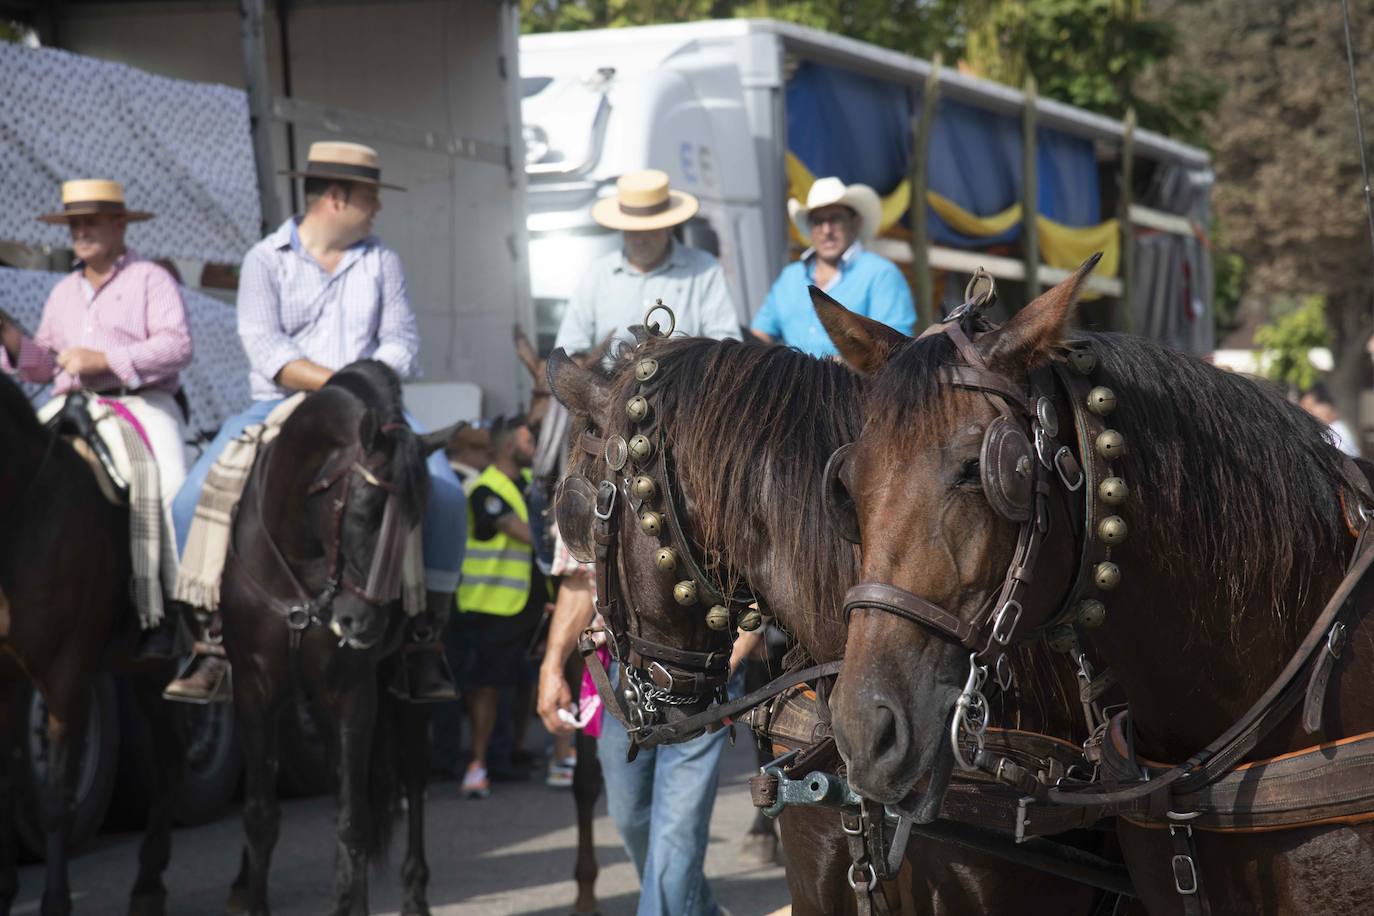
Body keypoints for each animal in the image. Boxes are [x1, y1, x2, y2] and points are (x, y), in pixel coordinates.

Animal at [0, 373, 184, 916]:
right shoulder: (4, 676)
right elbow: (5, 785)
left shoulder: (66, 674)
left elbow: (56, 798)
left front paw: (55, 901)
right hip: (142, 670)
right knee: (170, 755)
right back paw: (148, 882)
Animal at [219, 362, 453, 911]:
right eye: (364, 510)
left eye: (416, 522)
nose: (362, 623)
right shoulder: (253, 691)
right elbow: (260, 816)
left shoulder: (351, 695)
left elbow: (354, 821)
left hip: (405, 692)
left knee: (413, 777)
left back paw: (413, 895)